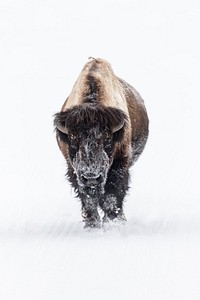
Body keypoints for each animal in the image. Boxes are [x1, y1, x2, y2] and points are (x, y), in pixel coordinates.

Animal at [54, 57, 149, 229]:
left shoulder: (119, 164)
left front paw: (113, 223)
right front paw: (92, 225)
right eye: (73, 140)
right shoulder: (73, 169)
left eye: (107, 140)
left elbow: (112, 196)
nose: (91, 177)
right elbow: (88, 199)